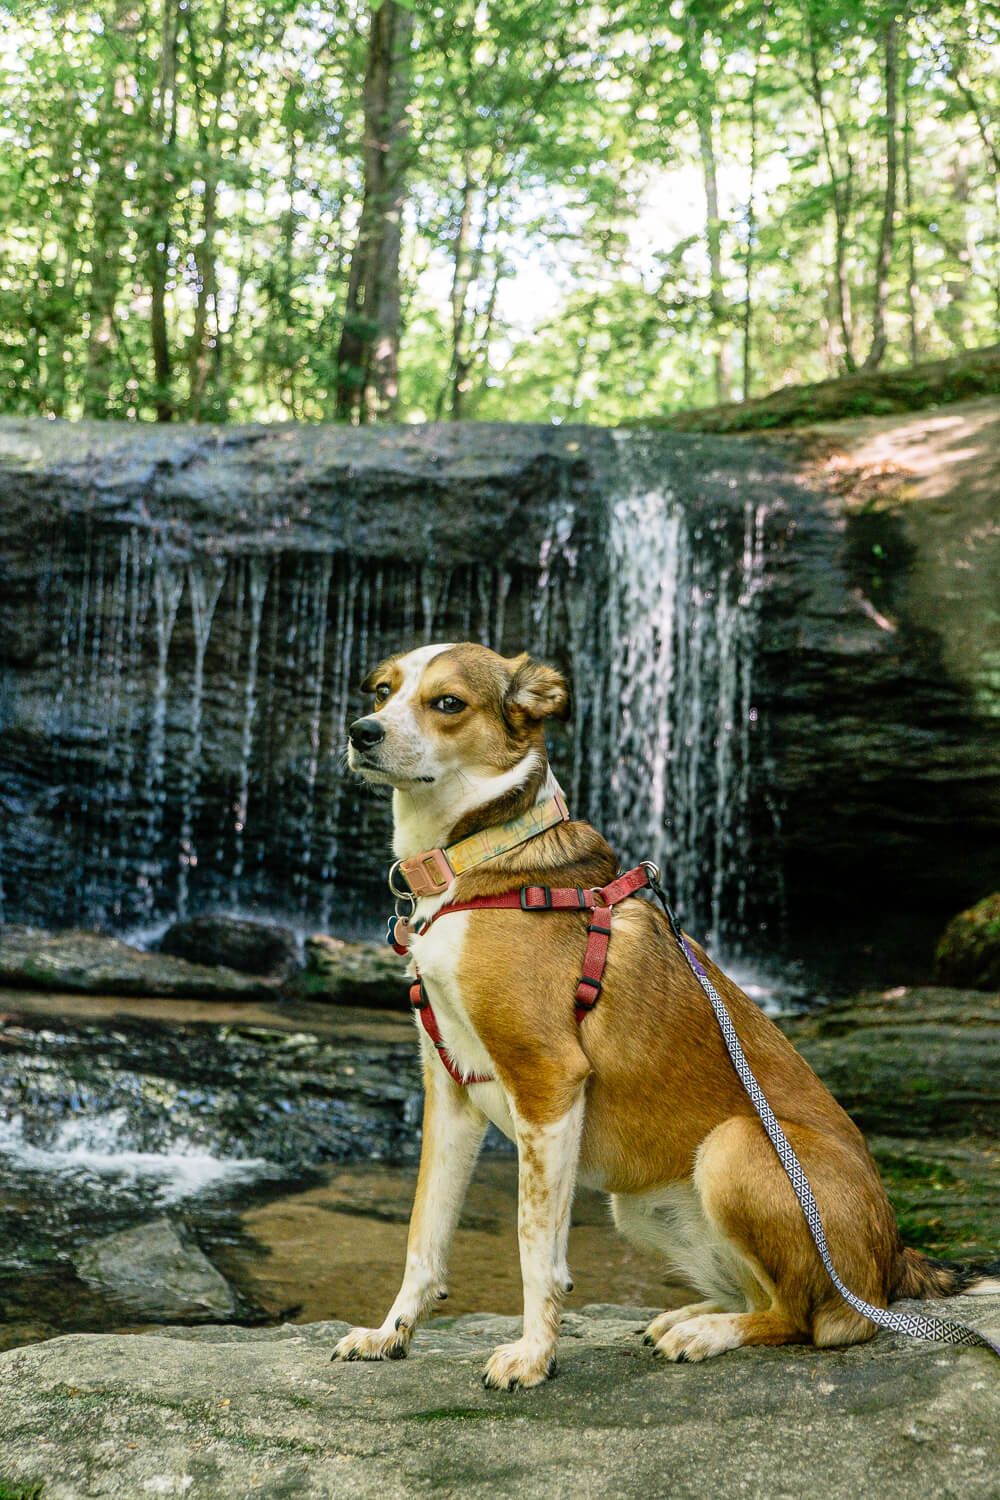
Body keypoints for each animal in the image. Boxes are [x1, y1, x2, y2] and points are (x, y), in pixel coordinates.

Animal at [332, 639, 995, 1386]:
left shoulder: (548, 1080)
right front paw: (390, 1335)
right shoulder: (450, 1094)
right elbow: (424, 1236)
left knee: (812, 1319)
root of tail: (894, 1255)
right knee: (769, 1296)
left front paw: (533, 1356)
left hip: (734, 1147)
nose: (361, 731)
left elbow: (537, 1250)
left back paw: (709, 1334)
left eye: (448, 702)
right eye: (381, 690)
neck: (477, 858)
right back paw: (687, 1317)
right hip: (642, 1204)